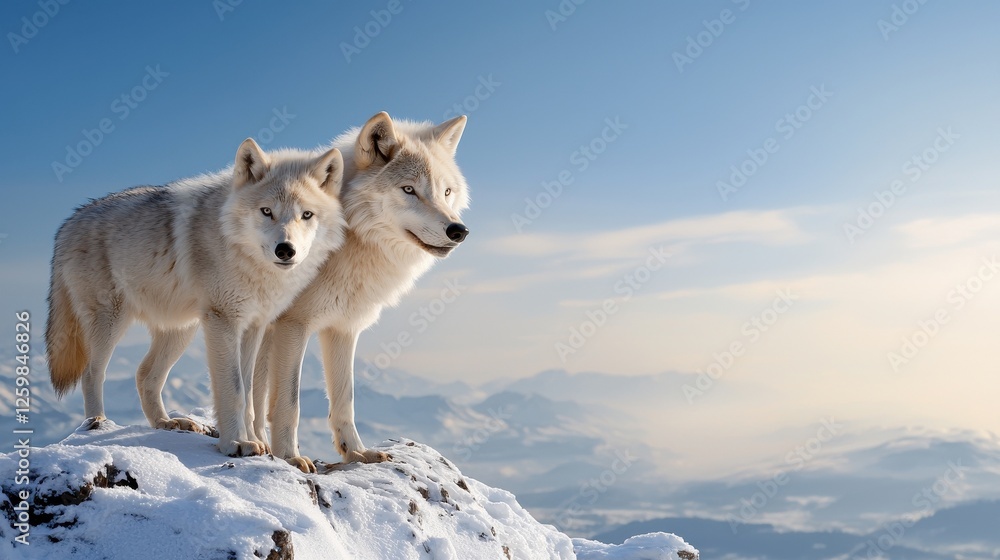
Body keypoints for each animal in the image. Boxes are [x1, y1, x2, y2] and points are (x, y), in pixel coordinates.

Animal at [46, 139, 346, 457]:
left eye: (306, 215)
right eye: (267, 211)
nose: (285, 250)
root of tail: (68, 223)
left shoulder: (253, 326)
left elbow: (249, 393)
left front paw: (256, 441)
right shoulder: (224, 320)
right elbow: (234, 390)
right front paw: (236, 443)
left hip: (180, 330)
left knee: (144, 374)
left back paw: (166, 423)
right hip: (111, 322)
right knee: (92, 373)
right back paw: (98, 423)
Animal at [253, 112, 471, 472]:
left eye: (447, 192)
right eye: (409, 190)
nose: (459, 230)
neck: (349, 244)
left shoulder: (342, 328)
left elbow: (344, 399)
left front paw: (356, 453)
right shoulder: (290, 326)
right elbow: (287, 402)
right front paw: (288, 457)